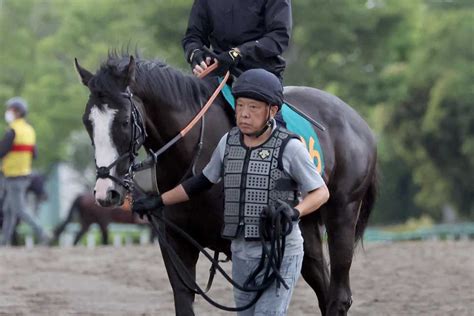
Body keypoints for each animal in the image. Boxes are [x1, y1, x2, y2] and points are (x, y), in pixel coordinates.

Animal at [75, 53, 378, 314]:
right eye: (87, 122)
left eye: (125, 121)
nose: (106, 192)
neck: (192, 152)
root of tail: (359, 123)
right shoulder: (175, 242)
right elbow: (184, 298)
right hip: (305, 226)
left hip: (342, 214)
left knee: (338, 296)